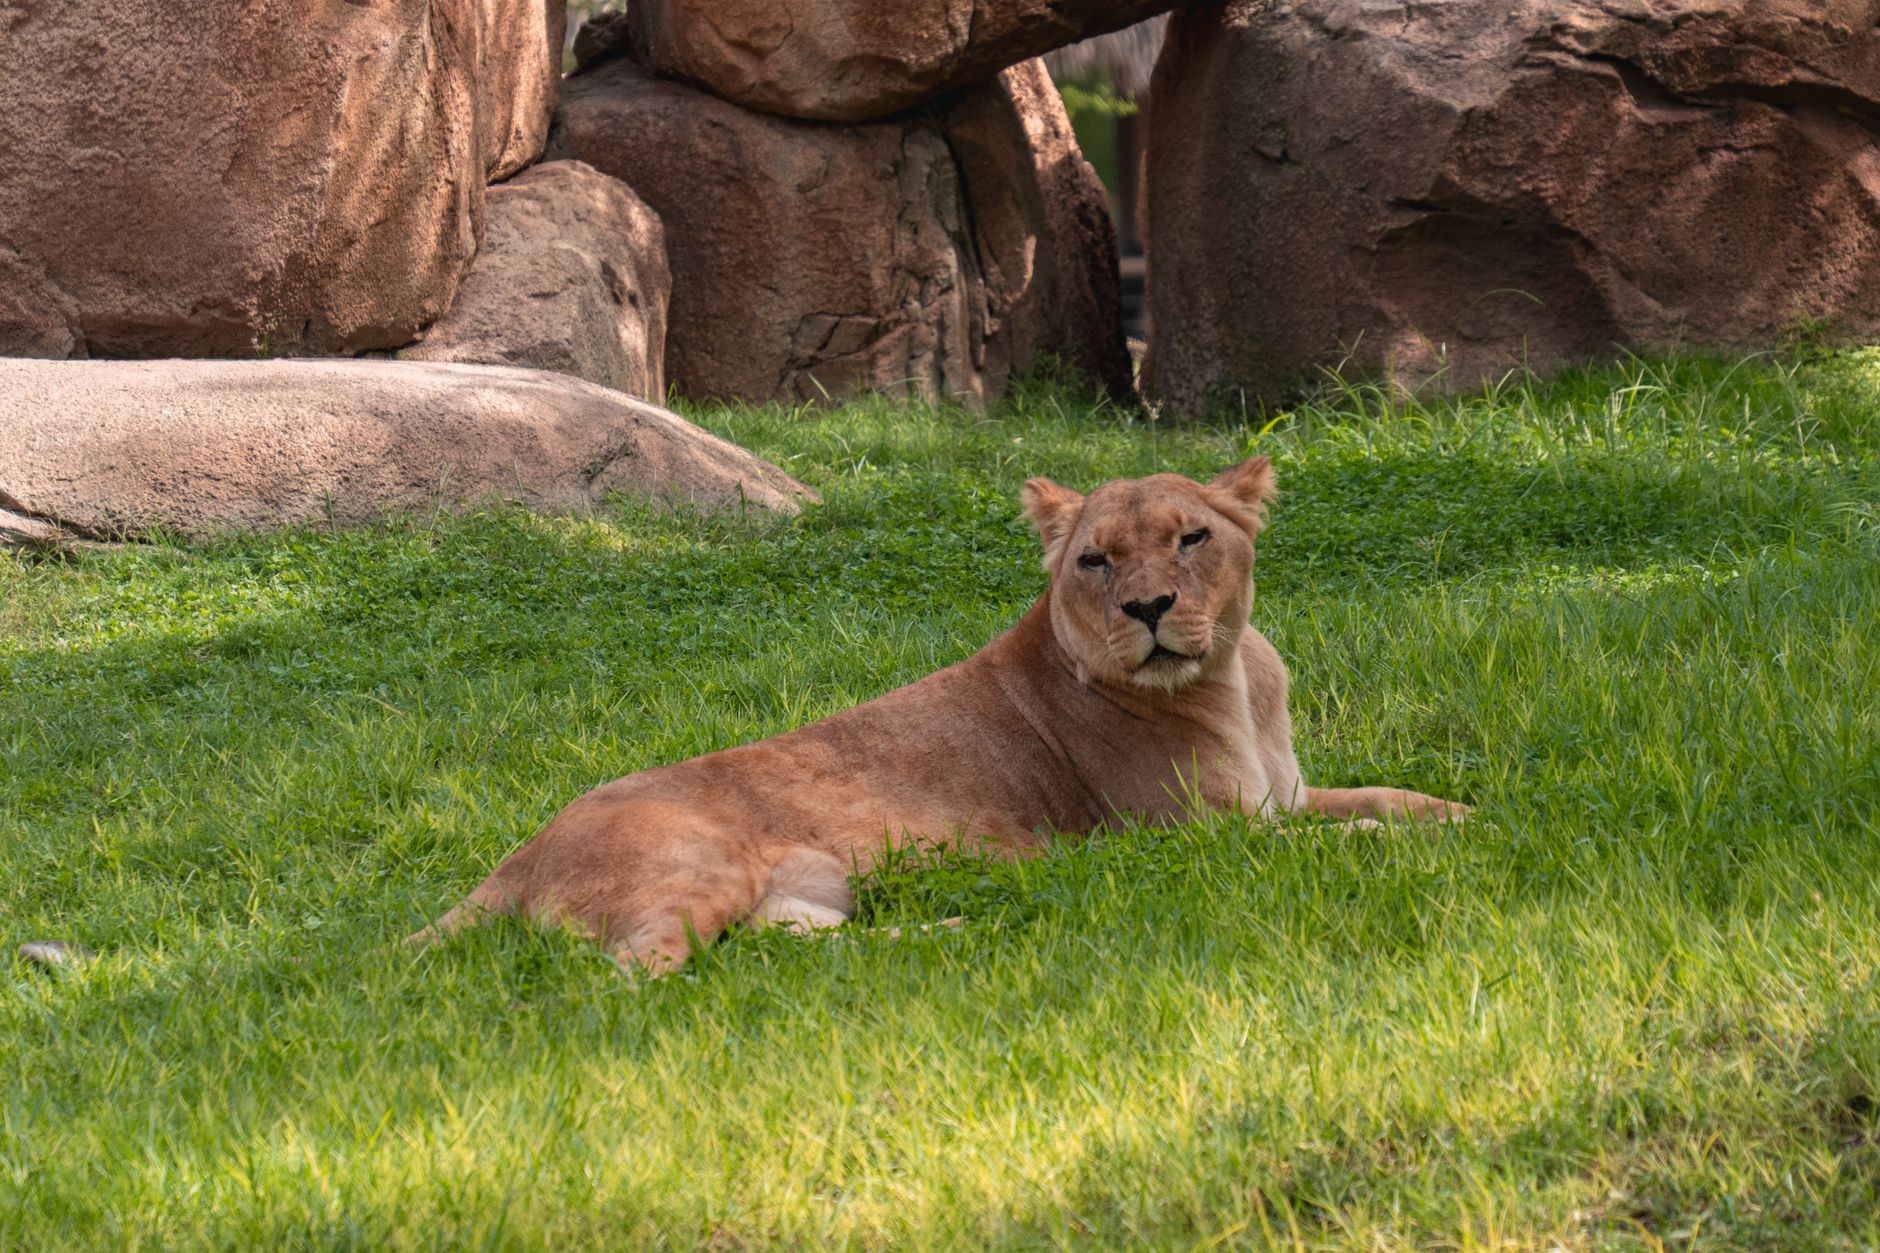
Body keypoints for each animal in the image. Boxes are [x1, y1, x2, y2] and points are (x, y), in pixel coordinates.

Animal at [411, 457, 1468, 973]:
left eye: (1192, 538)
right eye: (1096, 560)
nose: (1148, 609)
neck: (1234, 682)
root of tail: (515, 858)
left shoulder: (1279, 797)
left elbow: (1381, 793)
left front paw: (1459, 811)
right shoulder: (1195, 835)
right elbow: (1335, 839)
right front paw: (1413, 841)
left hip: (809, 891)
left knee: (783, 952)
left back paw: (963, 926)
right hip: (690, 871)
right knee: (642, 971)